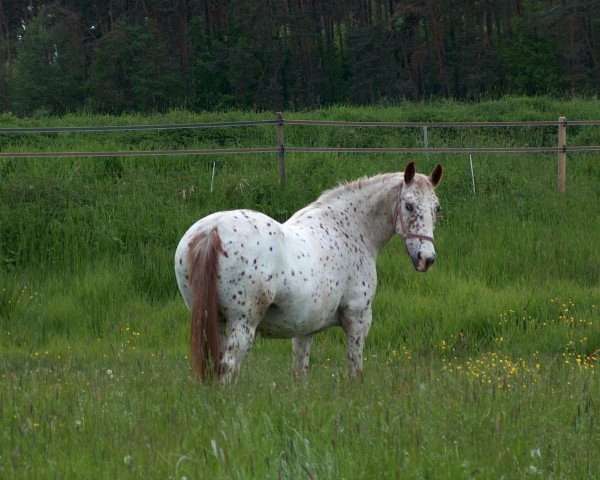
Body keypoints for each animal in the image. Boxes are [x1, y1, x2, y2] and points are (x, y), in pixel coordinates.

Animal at [173, 161, 440, 382]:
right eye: (408, 205)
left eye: (436, 208)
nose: (426, 258)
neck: (350, 229)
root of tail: (211, 231)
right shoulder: (358, 320)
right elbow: (355, 371)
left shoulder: (304, 329)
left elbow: (299, 373)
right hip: (243, 323)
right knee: (228, 367)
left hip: (213, 321)